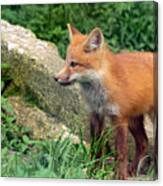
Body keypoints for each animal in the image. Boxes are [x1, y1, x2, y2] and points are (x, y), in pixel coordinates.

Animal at [54, 24, 158, 179]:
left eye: (74, 64)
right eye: (66, 62)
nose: (55, 78)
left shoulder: (119, 118)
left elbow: (121, 152)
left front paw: (120, 176)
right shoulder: (95, 115)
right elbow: (96, 148)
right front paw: (93, 172)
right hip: (134, 120)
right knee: (143, 143)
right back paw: (133, 170)